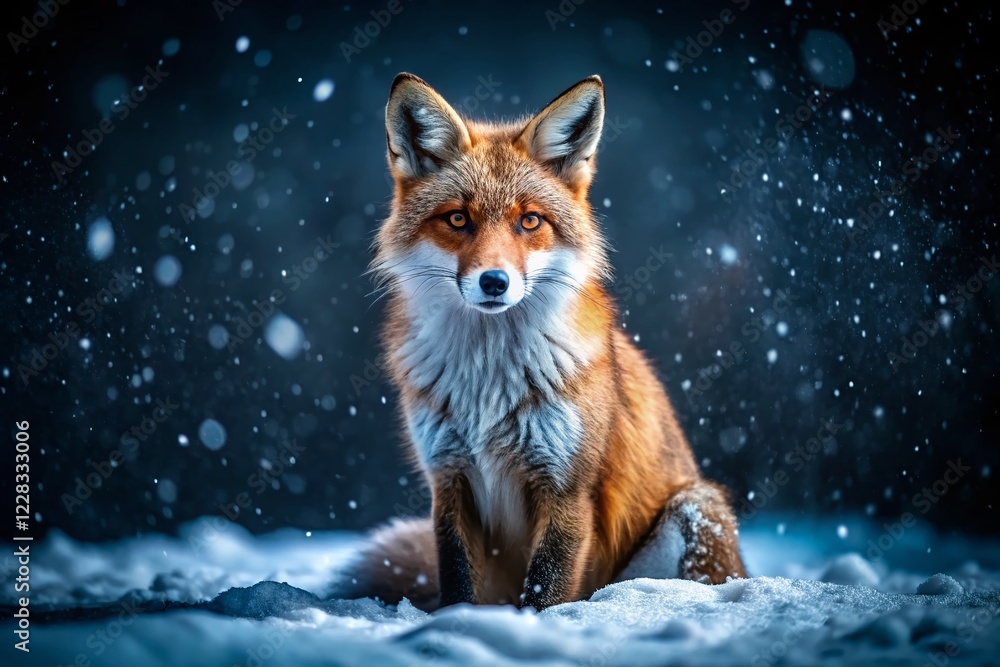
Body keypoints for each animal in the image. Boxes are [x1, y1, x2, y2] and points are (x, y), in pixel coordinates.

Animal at [337, 73, 747, 611]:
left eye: (529, 221)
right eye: (458, 219)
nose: (494, 282)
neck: (487, 384)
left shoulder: (567, 487)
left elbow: (545, 589)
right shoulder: (449, 481)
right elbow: (457, 583)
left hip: (694, 509)